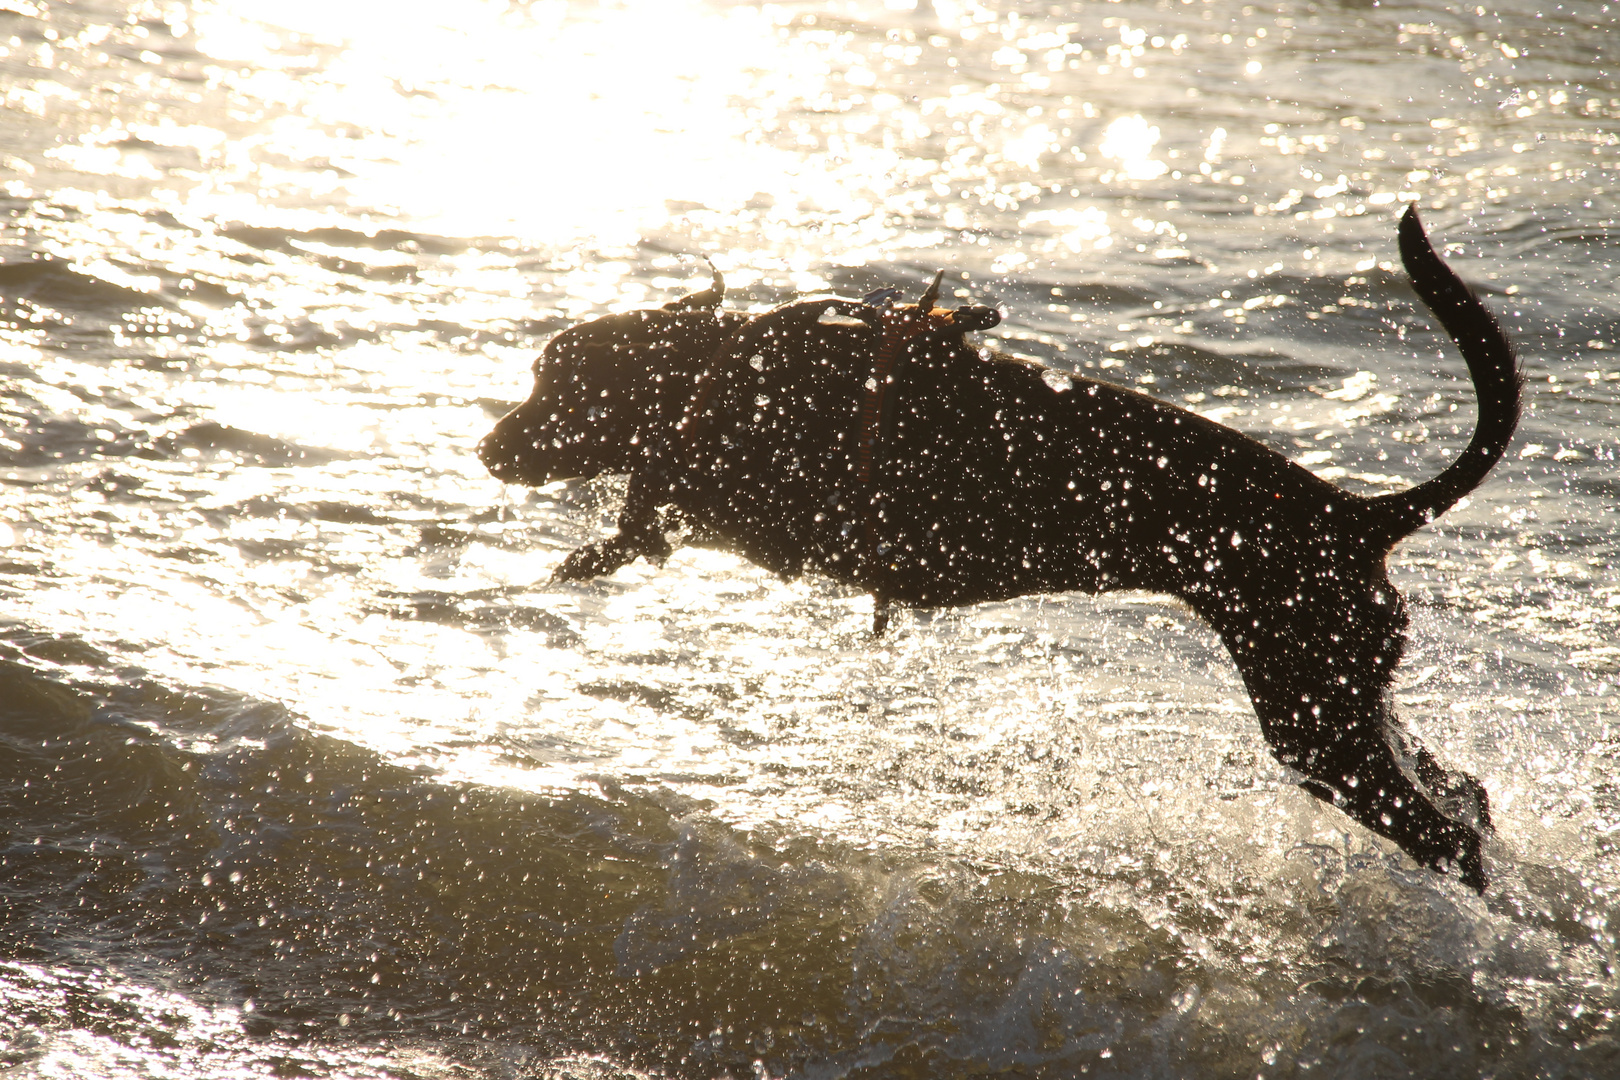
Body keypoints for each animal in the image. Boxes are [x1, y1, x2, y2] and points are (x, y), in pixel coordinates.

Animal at [479, 207, 1516, 893]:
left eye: (550, 381)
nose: (487, 447)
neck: (730, 373)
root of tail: (1358, 515)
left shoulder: (775, 503)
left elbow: (659, 498)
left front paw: (606, 533)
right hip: (1348, 696)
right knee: (1461, 791)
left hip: (1313, 713)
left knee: (1443, 832)